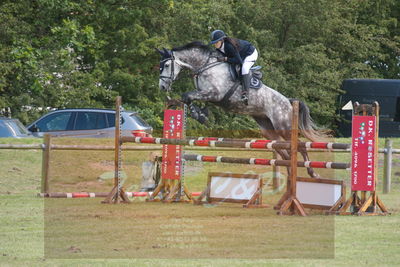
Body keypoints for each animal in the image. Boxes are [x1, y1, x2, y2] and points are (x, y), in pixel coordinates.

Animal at [157, 41, 328, 178]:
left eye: (166, 65)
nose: (162, 87)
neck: (205, 66)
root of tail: (289, 101)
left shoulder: (214, 93)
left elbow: (187, 95)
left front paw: (200, 115)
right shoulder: (207, 95)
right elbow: (187, 98)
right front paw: (200, 115)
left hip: (283, 127)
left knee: (300, 146)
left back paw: (312, 173)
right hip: (268, 130)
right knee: (285, 154)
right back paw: (291, 175)